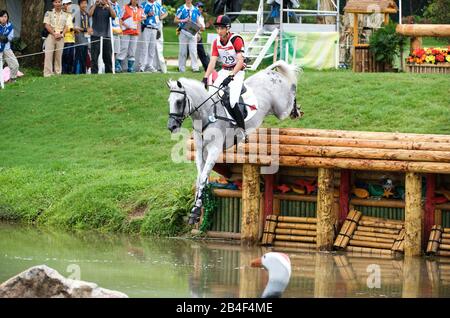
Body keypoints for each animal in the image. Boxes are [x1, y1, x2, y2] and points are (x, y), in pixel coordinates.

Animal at [168, 59, 302, 224]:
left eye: (179, 102)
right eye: (170, 101)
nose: (172, 126)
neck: (206, 115)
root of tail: (270, 72)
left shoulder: (214, 150)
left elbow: (204, 177)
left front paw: (195, 211)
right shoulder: (200, 152)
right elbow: (200, 178)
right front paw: (197, 208)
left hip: (281, 110)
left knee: (292, 94)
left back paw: (296, 109)